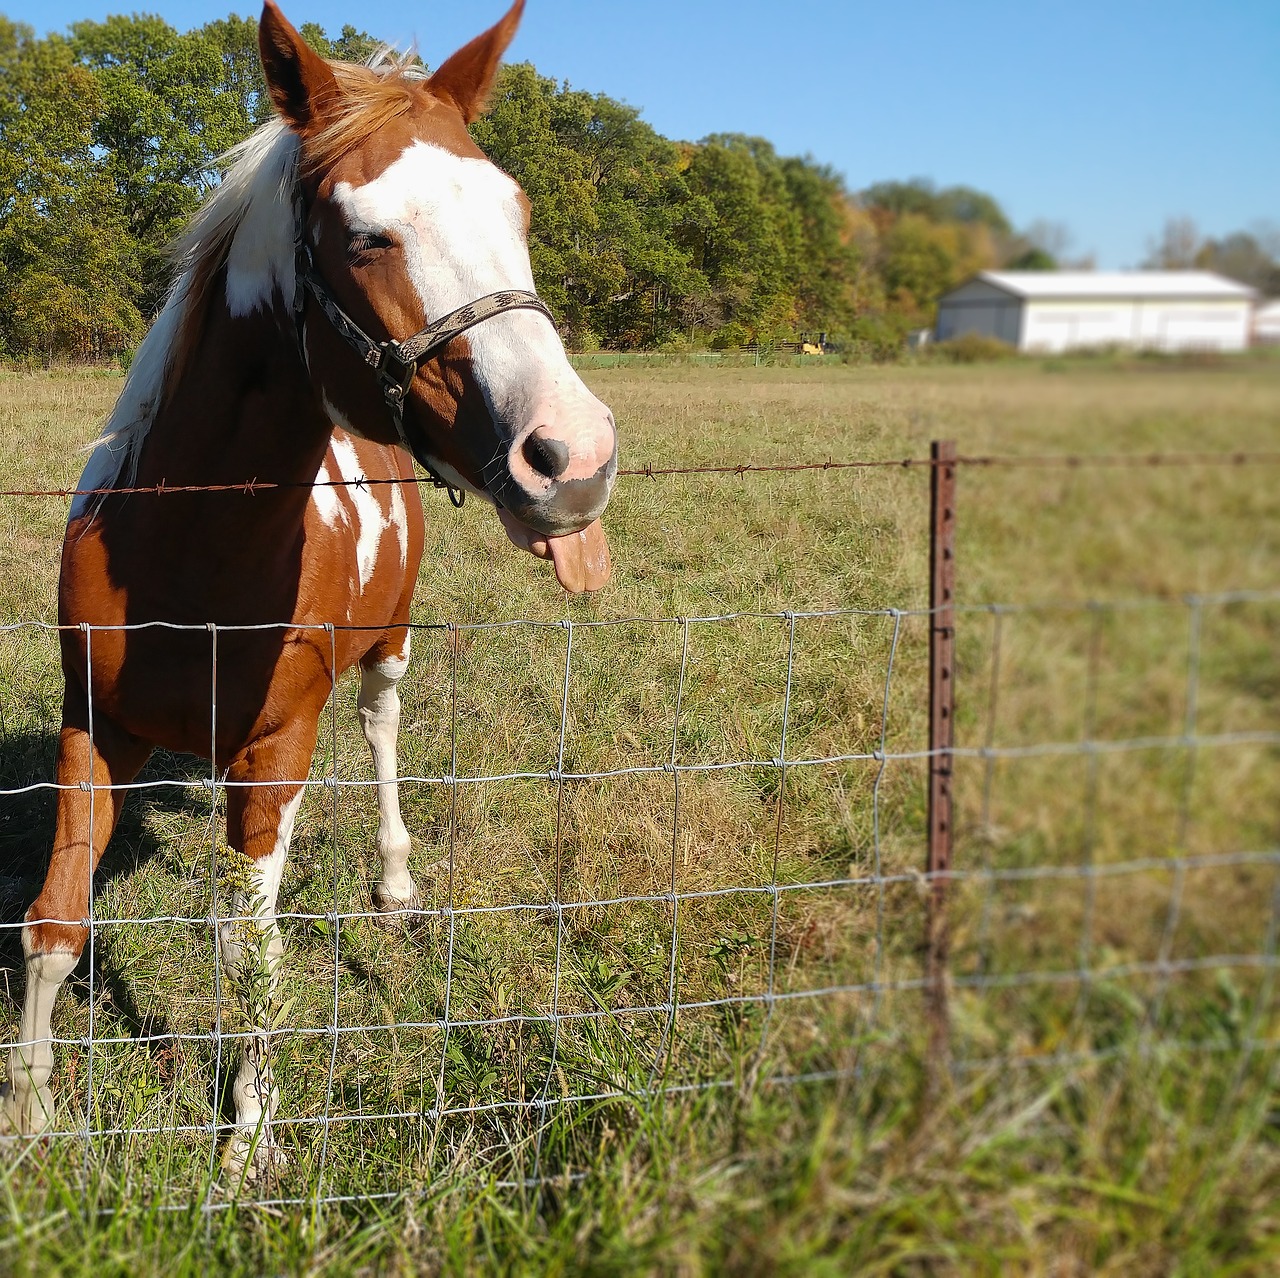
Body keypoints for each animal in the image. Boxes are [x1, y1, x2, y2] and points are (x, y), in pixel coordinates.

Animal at [0, 0, 619, 1178]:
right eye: (365, 234)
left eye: (515, 210)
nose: (572, 457)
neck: (187, 546)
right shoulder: (91, 726)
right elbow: (54, 926)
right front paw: (32, 1117)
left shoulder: (275, 744)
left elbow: (251, 952)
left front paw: (248, 1141)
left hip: (386, 649)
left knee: (380, 735)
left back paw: (394, 885)